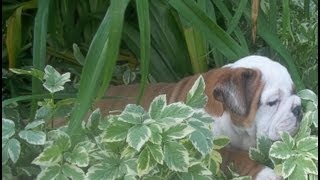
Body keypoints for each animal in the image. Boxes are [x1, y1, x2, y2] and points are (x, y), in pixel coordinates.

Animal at [94, 55, 300, 179]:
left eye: (293, 92)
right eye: (273, 102)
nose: (298, 108)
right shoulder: (209, 149)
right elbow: (236, 157)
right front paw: (267, 173)